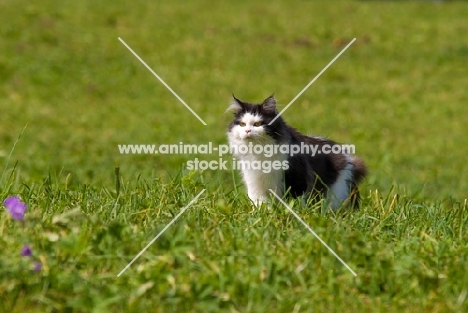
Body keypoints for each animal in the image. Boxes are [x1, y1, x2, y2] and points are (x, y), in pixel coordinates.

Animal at [226, 94, 366, 208]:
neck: (257, 151)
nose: (247, 131)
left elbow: (294, 201)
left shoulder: (296, 177)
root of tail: (349, 159)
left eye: (257, 124)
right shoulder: (255, 182)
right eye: (242, 124)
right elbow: (260, 203)